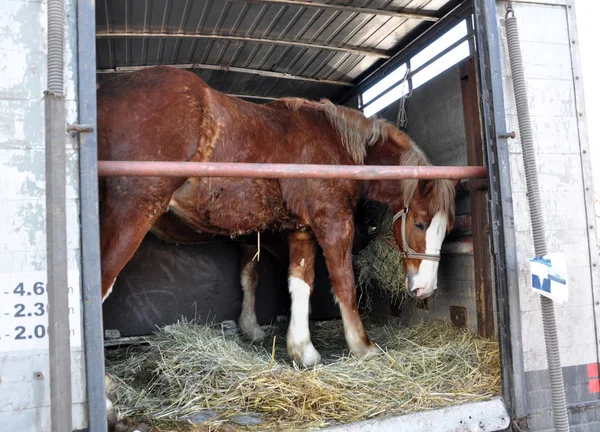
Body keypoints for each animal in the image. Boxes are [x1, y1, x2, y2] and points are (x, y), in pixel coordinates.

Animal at [98, 66, 458, 368]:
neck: (339, 149)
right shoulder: (333, 223)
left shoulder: (302, 230)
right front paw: (362, 346)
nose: (425, 289)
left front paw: (303, 350)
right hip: (131, 214)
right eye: (419, 223)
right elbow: (344, 283)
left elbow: (299, 282)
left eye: (446, 229)